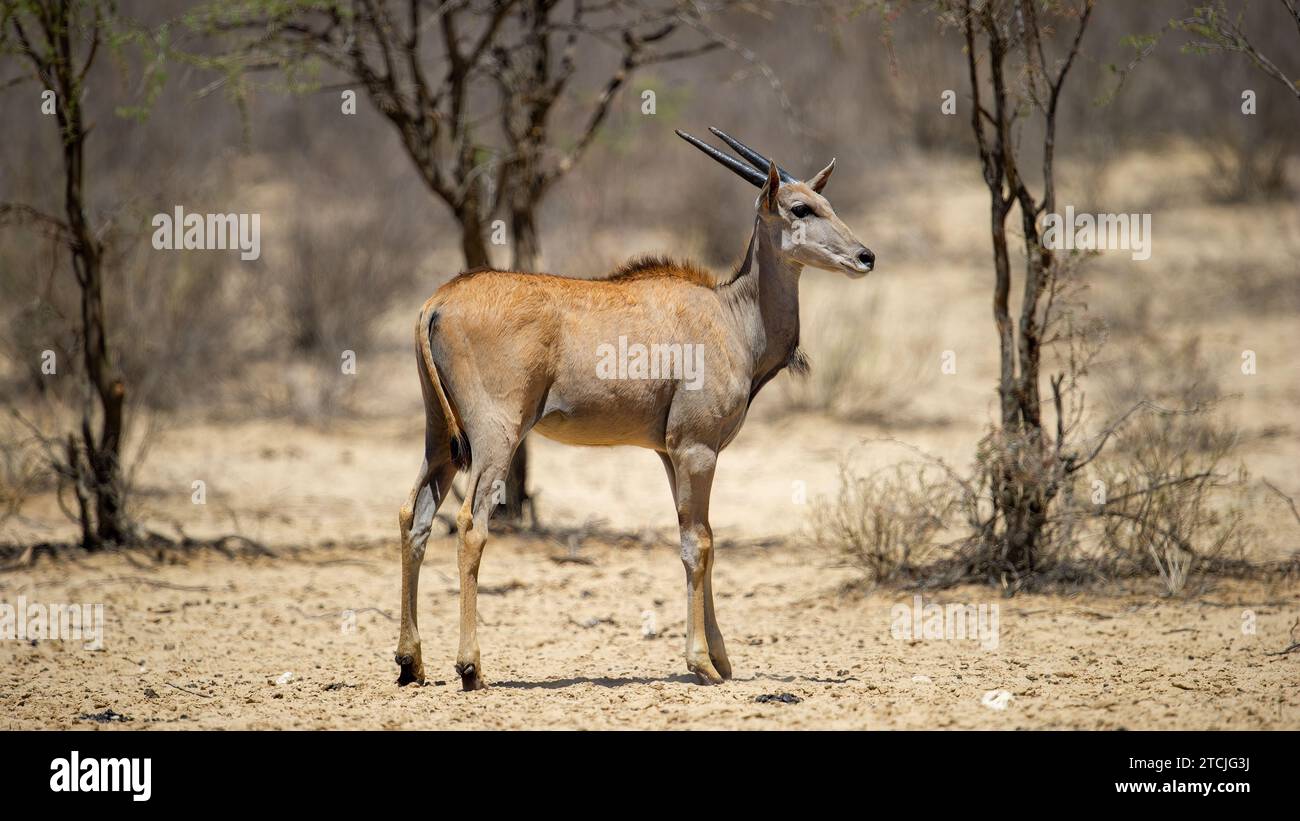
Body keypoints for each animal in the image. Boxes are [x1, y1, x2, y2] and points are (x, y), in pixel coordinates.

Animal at [395, 129, 873, 691]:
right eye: (800, 208)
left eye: (827, 203)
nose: (865, 256)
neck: (731, 315)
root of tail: (438, 302)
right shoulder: (696, 450)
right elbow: (699, 543)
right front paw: (702, 662)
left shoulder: (670, 455)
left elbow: (699, 538)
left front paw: (720, 659)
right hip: (496, 438)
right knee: (471, 524)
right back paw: (470, 666)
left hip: (441, 442)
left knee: (415, 517)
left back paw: (410, 662)